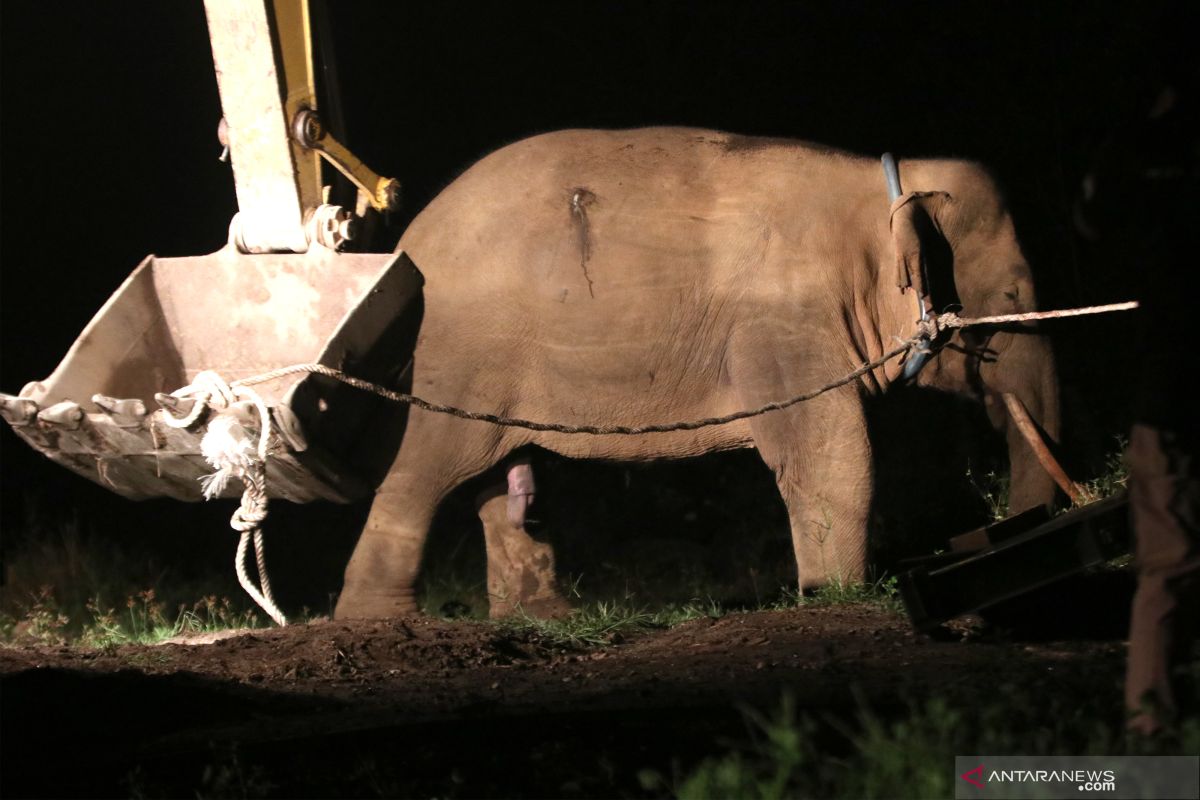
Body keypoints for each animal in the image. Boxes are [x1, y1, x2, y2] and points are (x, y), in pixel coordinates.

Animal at [331, 128, 1060, 623]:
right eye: (1009, 300)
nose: (1013, 525)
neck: (877, 186)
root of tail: (408, 242)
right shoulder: (784, 324)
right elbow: (828, 453)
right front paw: (837, 594)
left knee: (505, 479)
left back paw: (543, 618)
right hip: (453, 357)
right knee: (422, 472)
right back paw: (377, 620)